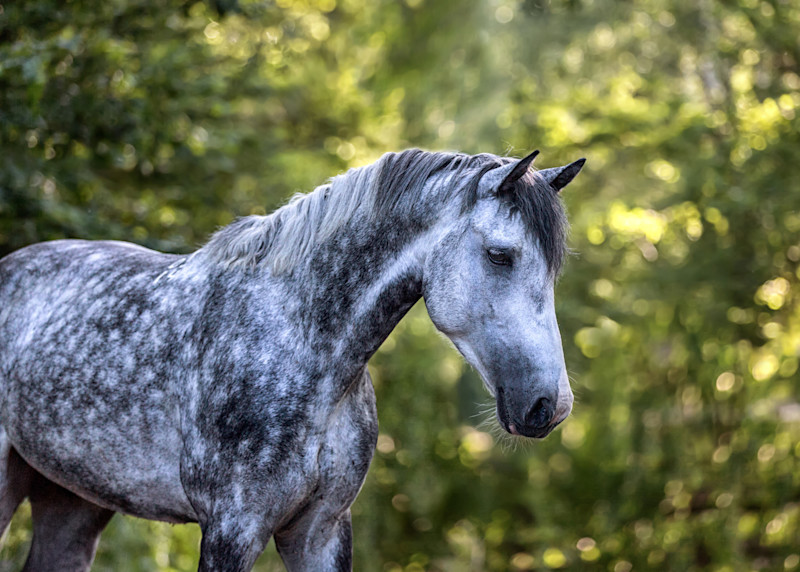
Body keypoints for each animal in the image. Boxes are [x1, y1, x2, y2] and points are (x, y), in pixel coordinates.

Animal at [0, 148, 584, 571]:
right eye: (501, 255)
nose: (548, 406)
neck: (302, 346)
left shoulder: (320, 531)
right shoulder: (232, 530)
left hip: (73, 501)